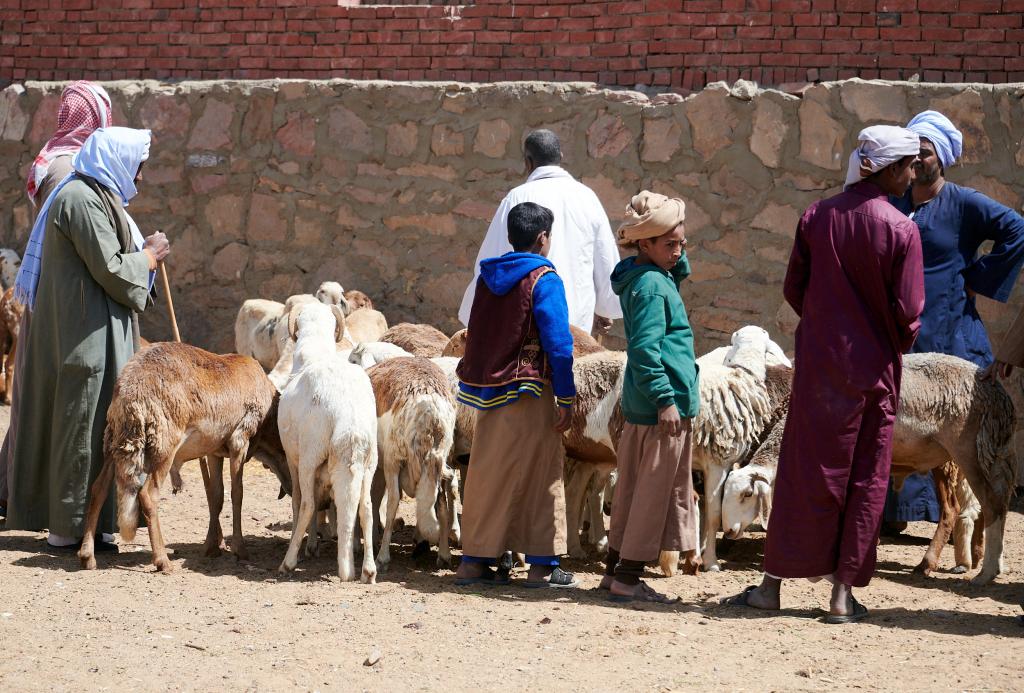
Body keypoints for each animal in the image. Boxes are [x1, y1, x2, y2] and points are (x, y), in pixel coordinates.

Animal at [278, 300, 378, 581]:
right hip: (369, 461)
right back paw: (367, 570)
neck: (316, 353)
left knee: (308, 504)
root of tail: (349, 420)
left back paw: (288, 562)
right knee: (365, 508)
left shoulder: (293, 459)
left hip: (311, 455)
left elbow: (299, 502)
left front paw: (305, 546)